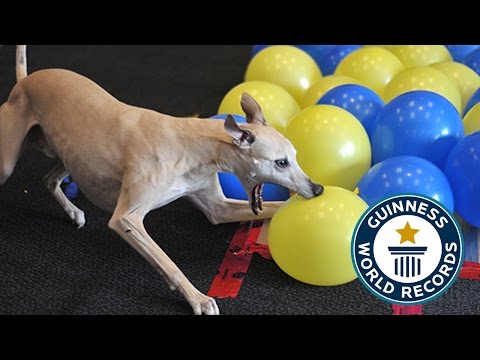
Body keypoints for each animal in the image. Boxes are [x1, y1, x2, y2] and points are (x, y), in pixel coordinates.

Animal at [0, 45, 322, 316]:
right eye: (280, 162)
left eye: (295, 155)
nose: (317, 189)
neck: (193, 145)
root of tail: (24, 81)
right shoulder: (126, 219)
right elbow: (169, 262)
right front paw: (198, 299)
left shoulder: (218, 208)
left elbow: (265, 208)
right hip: (9, 162)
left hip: (71, 158)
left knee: (48, 178)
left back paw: (72, 211)